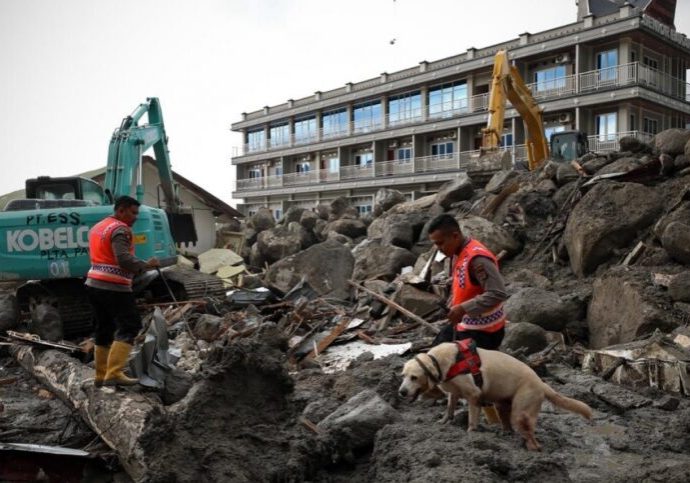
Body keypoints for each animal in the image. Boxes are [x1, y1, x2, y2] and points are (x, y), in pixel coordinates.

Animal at [398, 342, 592, 452]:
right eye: (403, 375)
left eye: (414, 377)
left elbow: (472, 417)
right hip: (502, 404)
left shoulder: (473, 394)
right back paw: (506, 433)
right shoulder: (454, 391)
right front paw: (444, 420)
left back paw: (531, 448)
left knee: (531, 436)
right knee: (508, 423)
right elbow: (450, 406)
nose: (401, 392)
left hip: (521, 410)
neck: (439, 361)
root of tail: (541, 383)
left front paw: (471, 432)